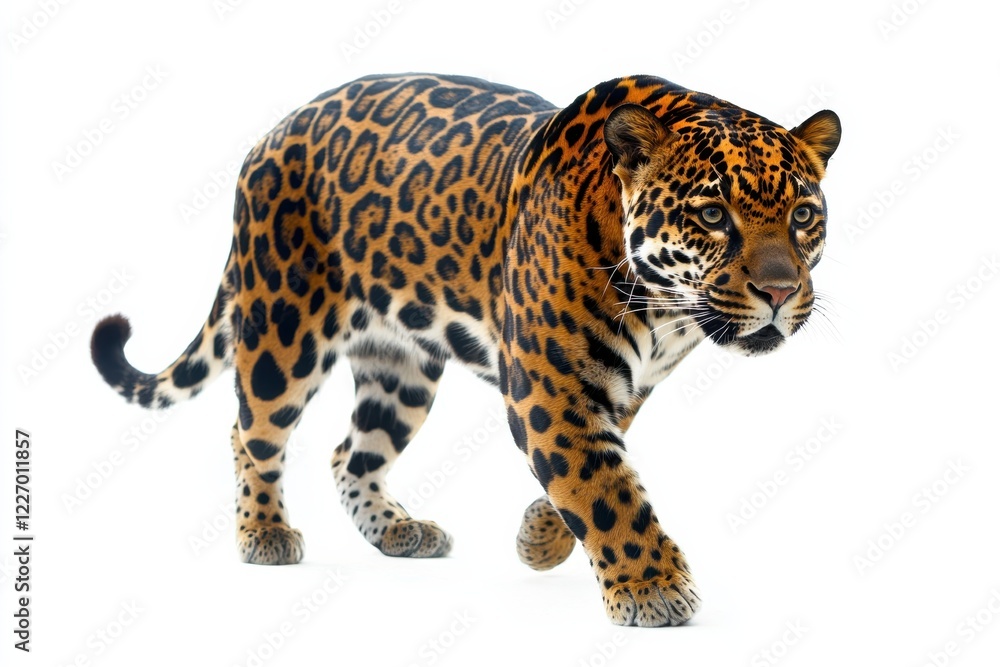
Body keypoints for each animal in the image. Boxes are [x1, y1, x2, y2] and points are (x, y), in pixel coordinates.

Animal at [91, 73, 840, 627]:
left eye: (803, 215)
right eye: (713, 215)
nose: (781, 291)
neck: (666, 310)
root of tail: (270, 135)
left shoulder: (621, 388)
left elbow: (593, 471)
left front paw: (540, 539)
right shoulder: (550, 386)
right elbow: (604, 485)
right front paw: (651, 587)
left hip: (401, 370)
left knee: (350, 451)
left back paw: (398, 531)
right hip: (282, 325)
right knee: (251, 431)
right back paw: (265, 534)